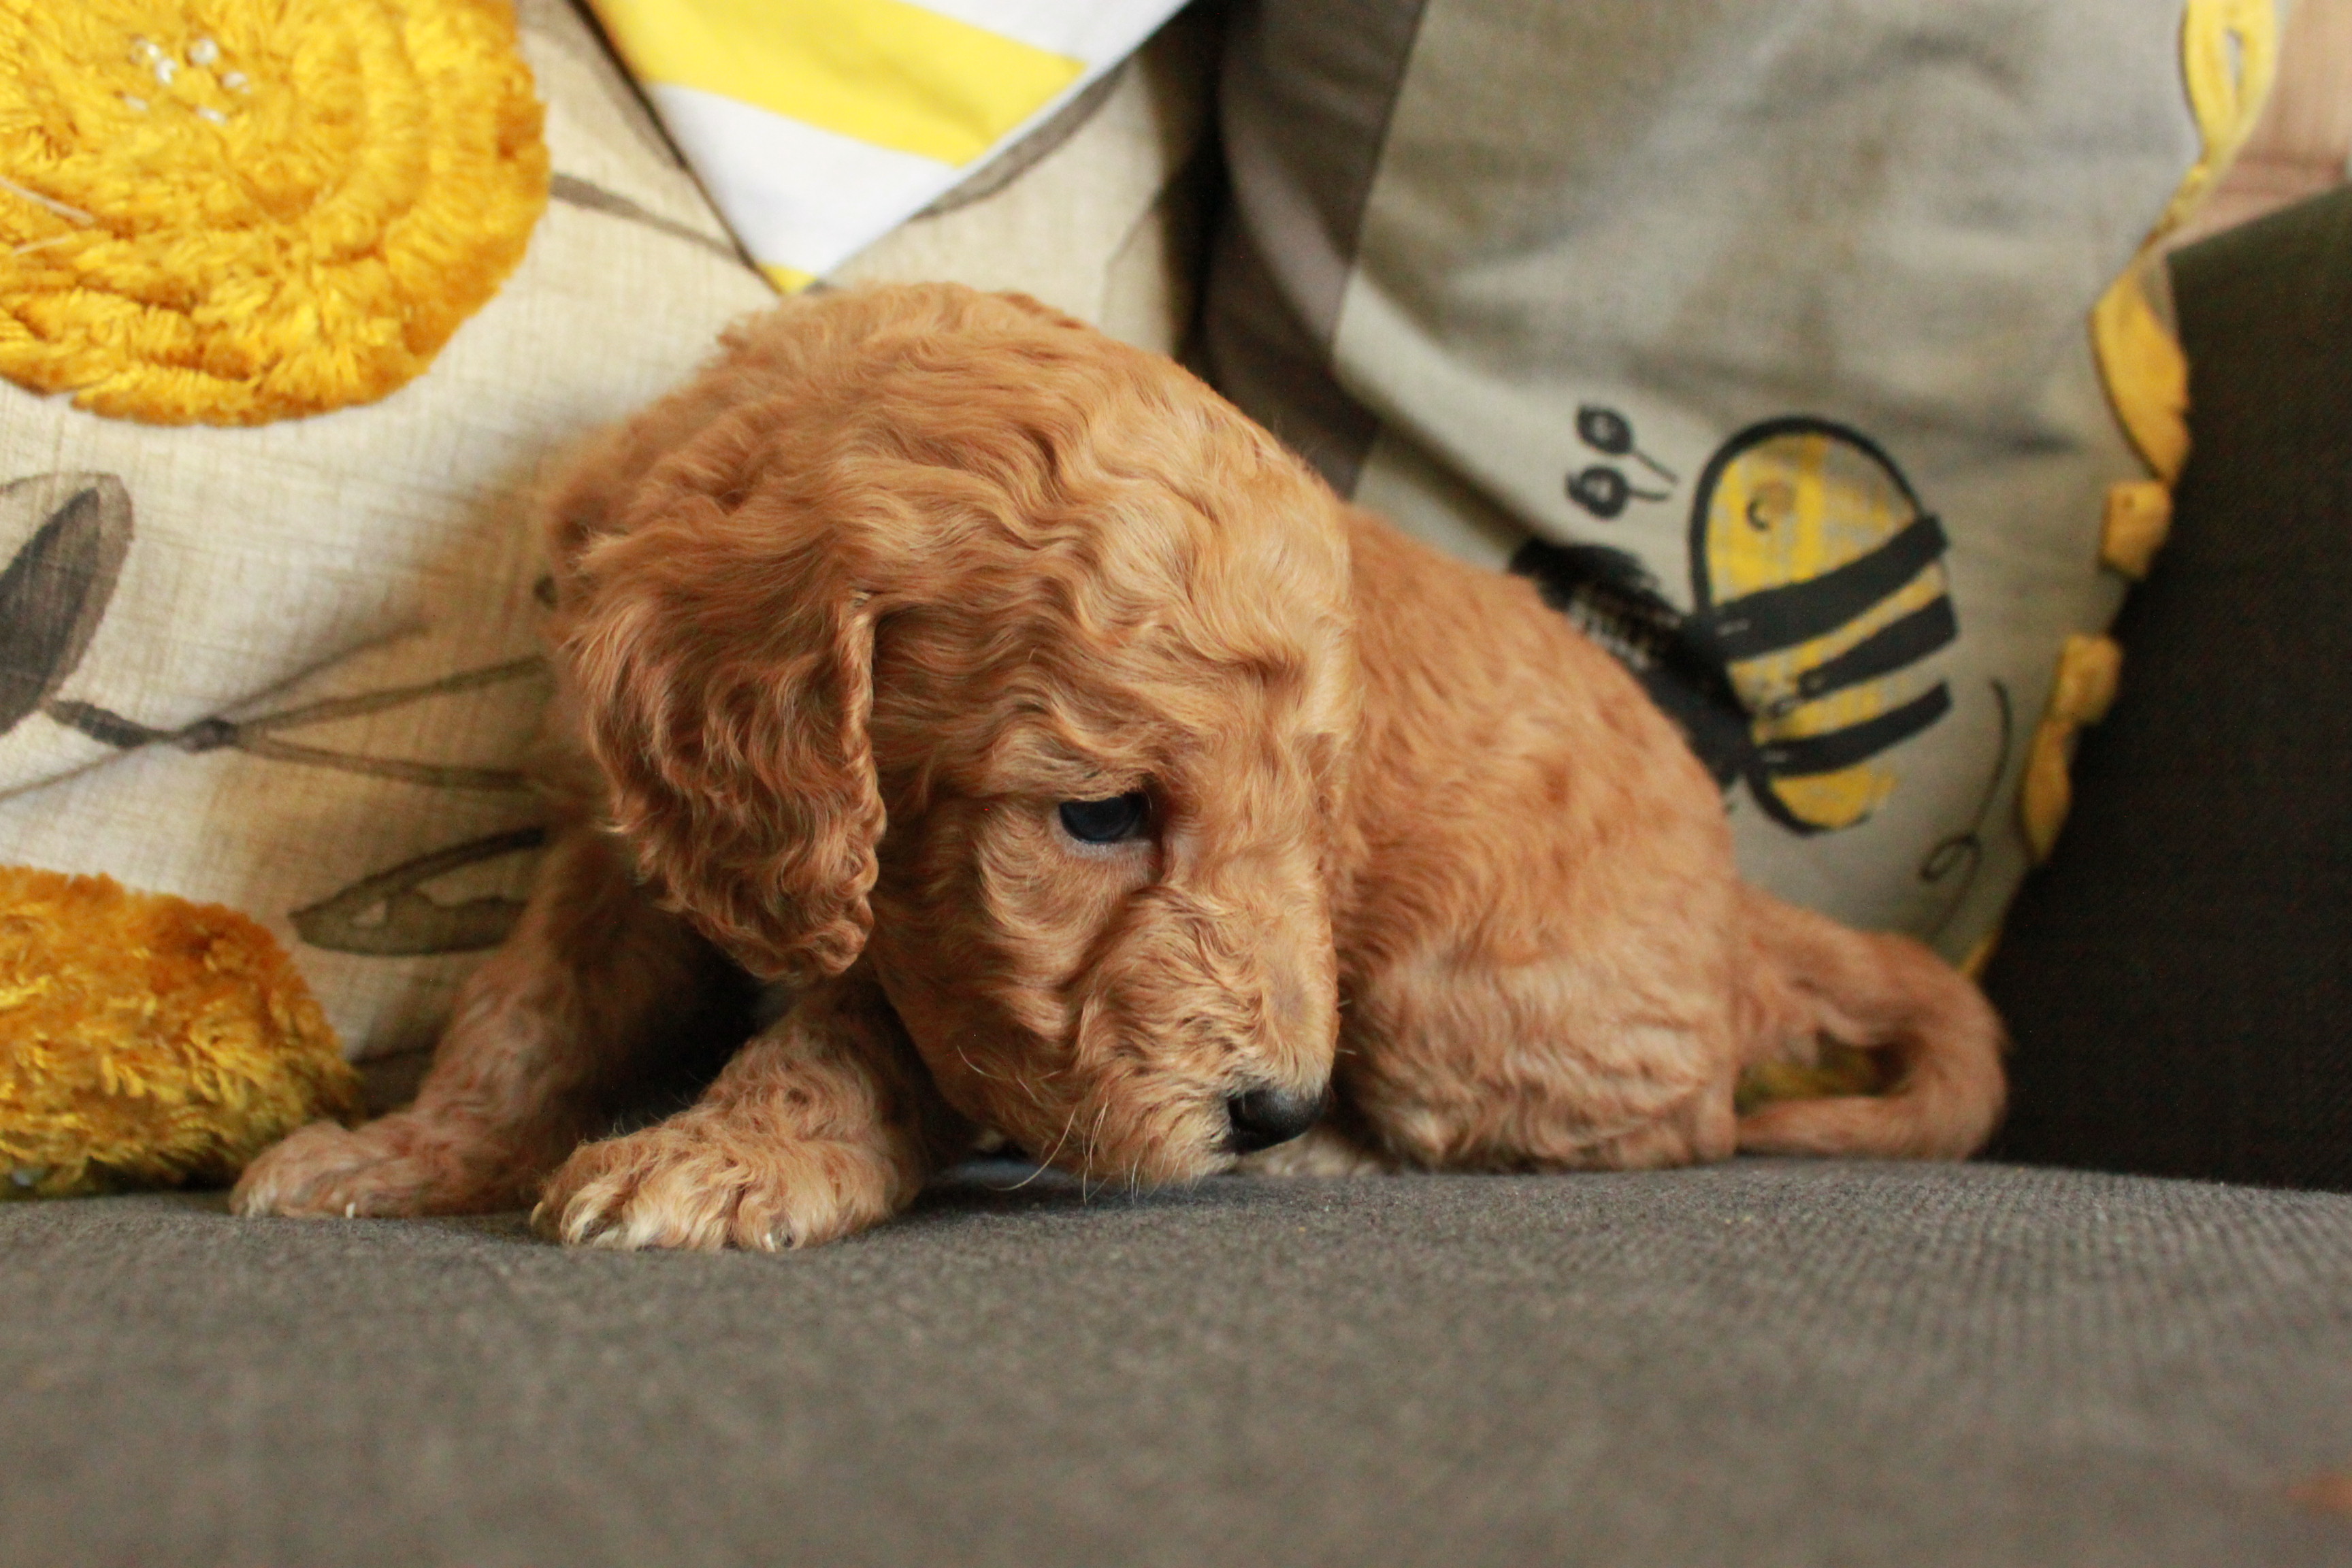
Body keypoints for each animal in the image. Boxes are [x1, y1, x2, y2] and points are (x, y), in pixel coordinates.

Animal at [233, 282, 2004, 1250]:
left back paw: (1342, 1160)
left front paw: (722, 1159)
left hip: (1455, 991)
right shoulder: (629, 837)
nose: (1274, 1108)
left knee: (1661, 1125)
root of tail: (1744, 923)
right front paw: (401, 1154)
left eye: (1314, 810)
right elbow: (522, 1011)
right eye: (1098, 814)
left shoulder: (946, 983)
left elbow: (848, 1044)